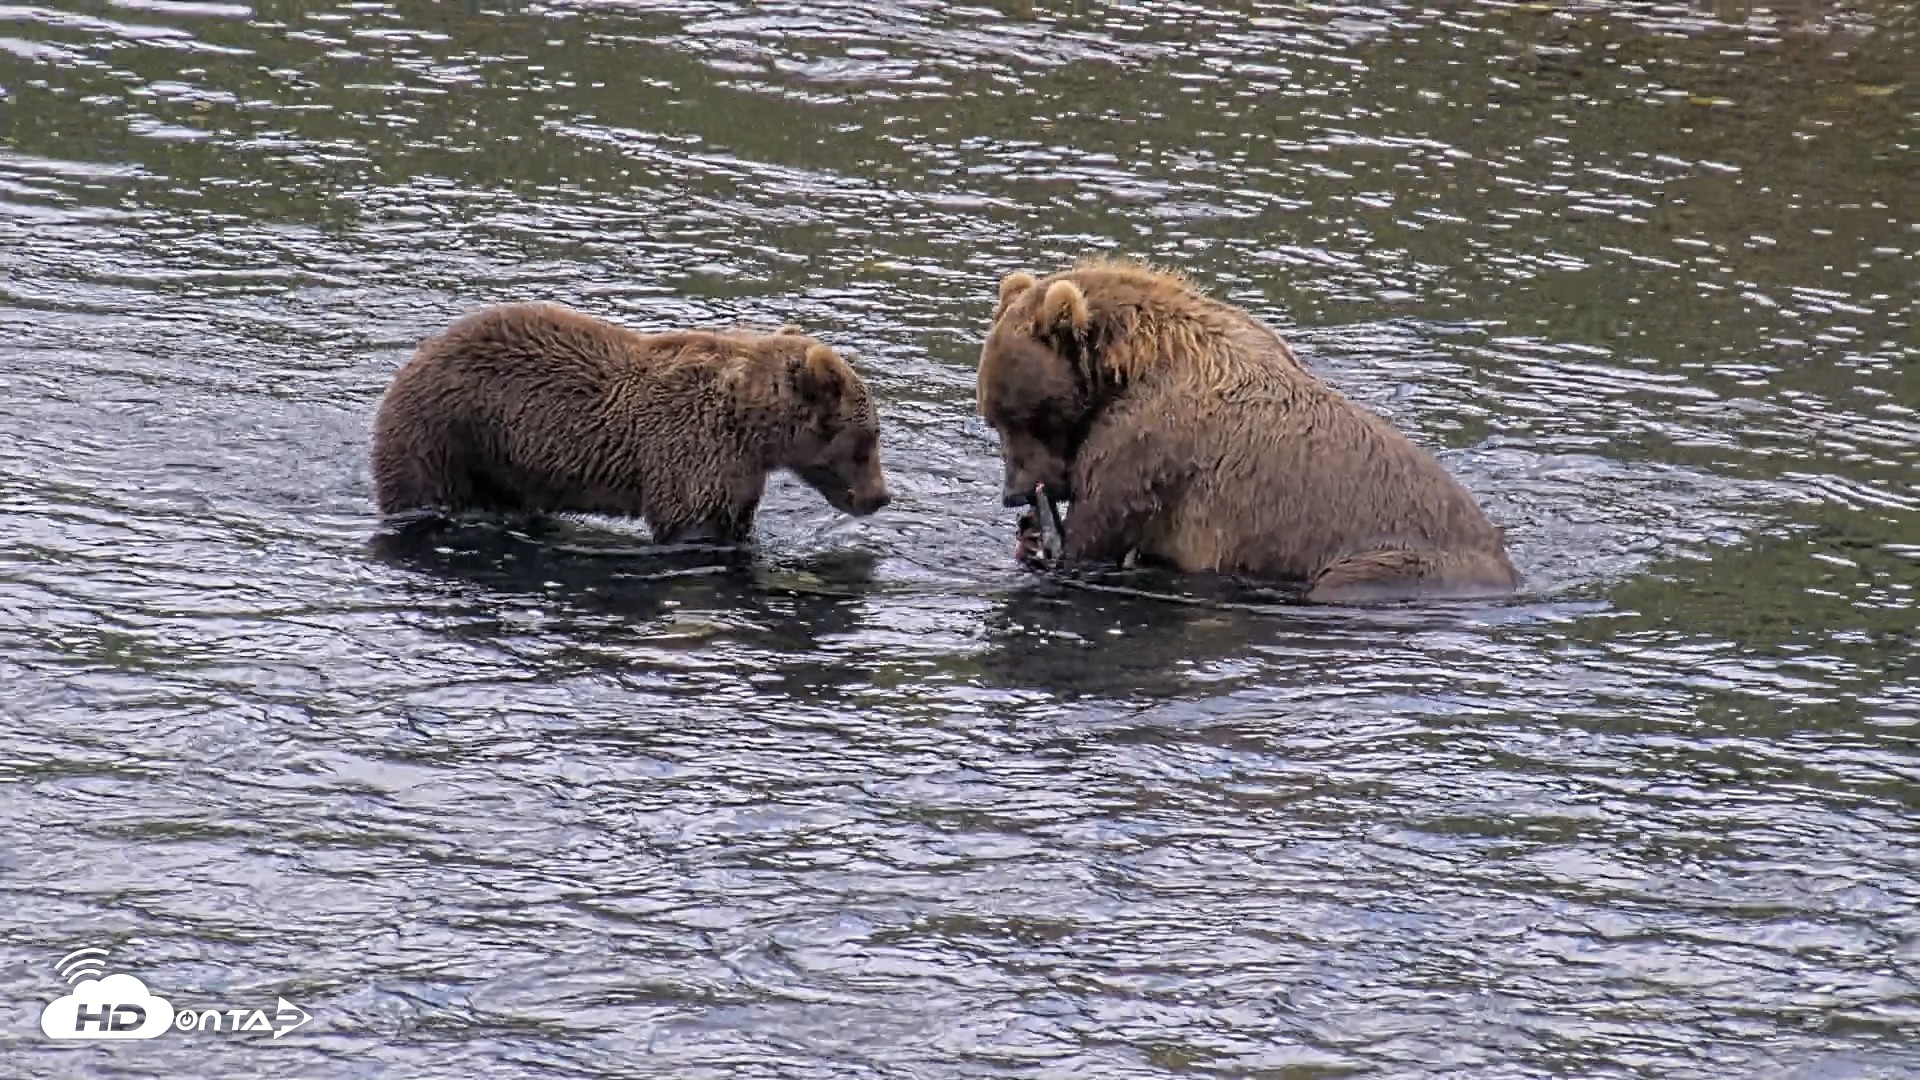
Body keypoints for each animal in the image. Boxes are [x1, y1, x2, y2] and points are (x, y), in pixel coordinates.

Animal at [370, 302, 890, 544]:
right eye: (867, 440)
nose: (881, 497)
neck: (752, 429)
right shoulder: (694, 452)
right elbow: (694, 524)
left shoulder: (740, 471)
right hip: (444, 436)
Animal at [977, 257, 1523, 604]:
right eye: (993, 417)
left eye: (1020, 416)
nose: (1014, 492)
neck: (1130, 365)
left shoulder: (1147, 443)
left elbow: (1099, 535)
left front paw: (1047, 543)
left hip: (1393, 561)